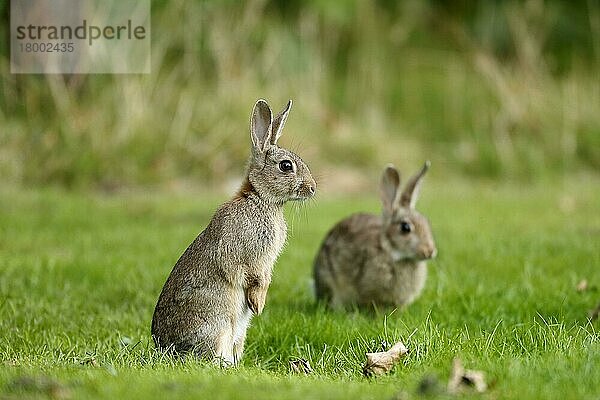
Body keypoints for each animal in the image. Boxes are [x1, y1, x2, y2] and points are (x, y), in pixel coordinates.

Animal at [152, 98, 316, 364]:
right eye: (285, 166)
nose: (312, 188)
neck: (260, 199)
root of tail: (165, 348)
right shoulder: (244, 255)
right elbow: (250, 276)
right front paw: (258, 304)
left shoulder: (266, 262)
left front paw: (258, 306)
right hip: (217, 324)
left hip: (239, 332)